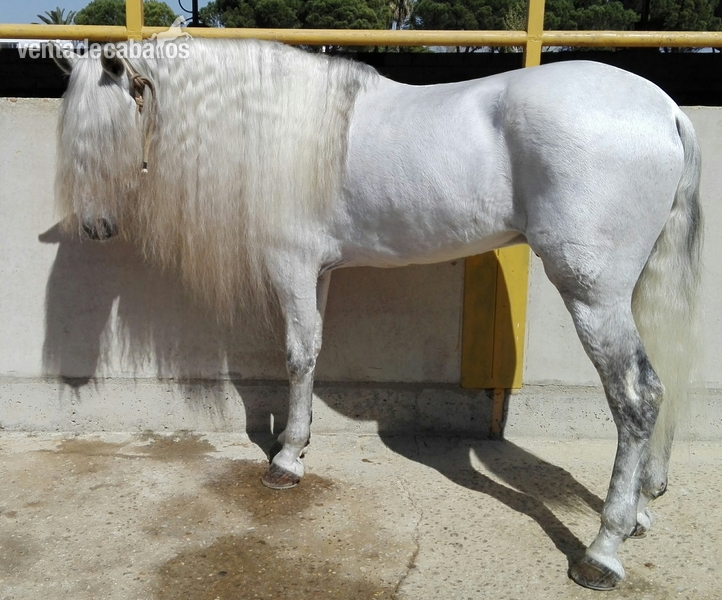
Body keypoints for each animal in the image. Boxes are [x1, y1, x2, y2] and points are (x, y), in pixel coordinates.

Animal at [51, 38, 702, 591]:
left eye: (101, 132)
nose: (96, 227)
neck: (280, 128)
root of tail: (665, 108)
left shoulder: (291, 265)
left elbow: (296, 354)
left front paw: (284, 462)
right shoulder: (320, 272)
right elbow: (312, 352)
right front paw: (297, 445)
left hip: (592, 294)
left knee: (637, 396)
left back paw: (603, 550)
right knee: (657, 393)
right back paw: (640, 512)